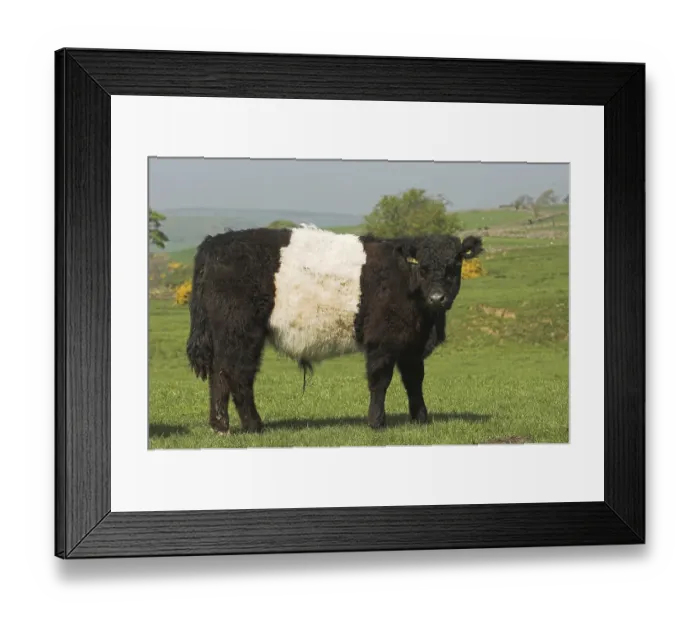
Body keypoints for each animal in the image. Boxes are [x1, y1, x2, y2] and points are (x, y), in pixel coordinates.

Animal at [186, 224, 484, 434]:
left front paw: (420, 419)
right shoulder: (382, 341)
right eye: (423, 267)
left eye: (455, 265)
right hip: (241, 332)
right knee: (237, 374)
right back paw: (253, 425)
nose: (437, 298)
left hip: (226, 335)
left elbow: (414, 381)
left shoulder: (411, 344)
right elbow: (380, 381)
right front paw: (377, 422)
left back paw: (221, 426)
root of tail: (215, 242)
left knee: (219, 374)